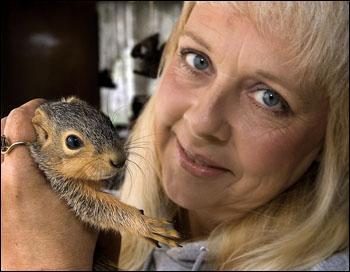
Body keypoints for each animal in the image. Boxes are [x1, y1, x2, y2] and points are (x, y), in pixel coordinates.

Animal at [29, 95, 180, 249]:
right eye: (72, 141)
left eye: (107, 119)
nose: (120, 160)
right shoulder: (62, 184)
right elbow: (97, 208)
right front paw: (145, 224)